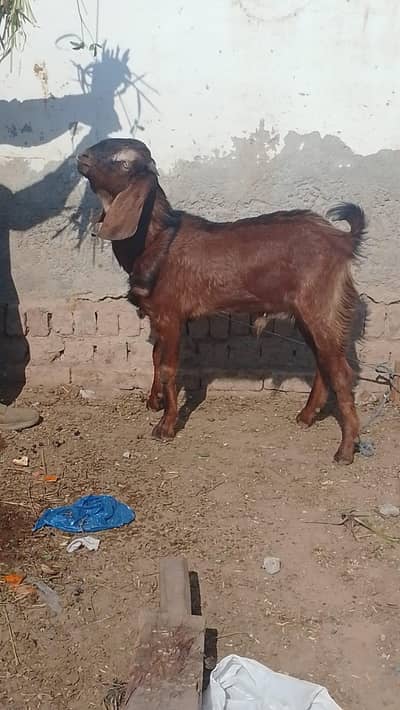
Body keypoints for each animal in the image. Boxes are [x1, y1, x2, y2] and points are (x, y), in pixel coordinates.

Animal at [77, 138, 366, 464]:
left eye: (124, 162)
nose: (82, 157)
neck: (156, 240)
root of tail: (342, 240)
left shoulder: (171, 314)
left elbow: (168, 368)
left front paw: (165, 425)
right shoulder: (157, 315)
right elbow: (155, 357)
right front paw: (154, 401)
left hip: (322, 307)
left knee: (341, 371)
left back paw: (345, 449)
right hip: (305, 314)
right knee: (323, 361)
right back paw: (306, 416)